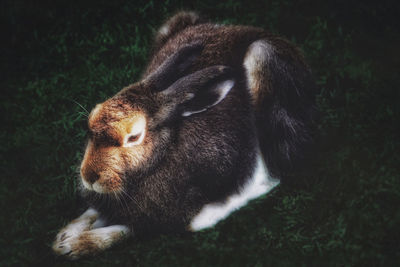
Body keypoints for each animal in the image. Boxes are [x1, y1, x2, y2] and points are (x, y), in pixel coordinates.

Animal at [52, 11, 316, 260]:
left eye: (134, 137)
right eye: (90, 122)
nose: (89, 176)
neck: (160, 157)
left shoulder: (165, 215)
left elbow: (127, 230)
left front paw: (77, 245)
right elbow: (94, 213)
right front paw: (65, 236)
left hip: (264, 65)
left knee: (274, 170)